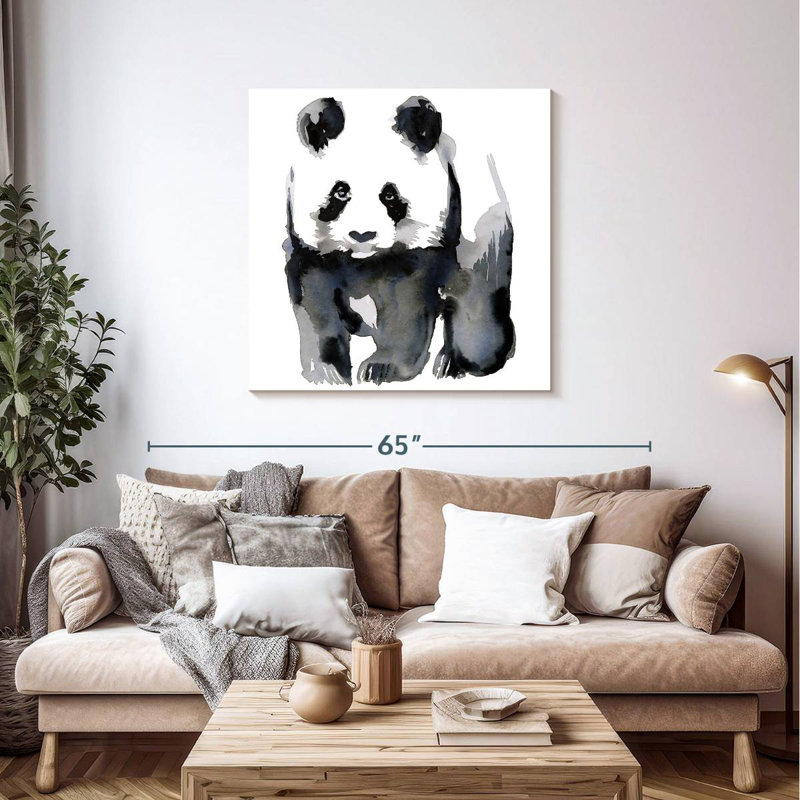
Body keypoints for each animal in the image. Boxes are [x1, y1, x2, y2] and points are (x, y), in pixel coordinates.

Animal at [284, 95, 515, 386]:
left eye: (390, 195)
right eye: (340, 191)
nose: (362, 235)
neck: (363, 260)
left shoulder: (428, 243)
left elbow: (405, 306)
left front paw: (381, 368)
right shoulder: (313, 251)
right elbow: (315, 301)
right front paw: (328, 372)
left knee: (477, 294)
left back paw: (458, 361)